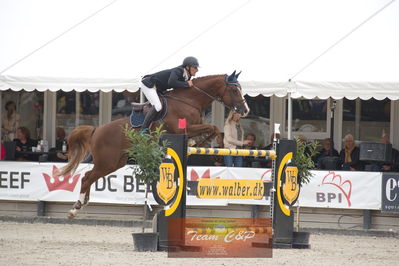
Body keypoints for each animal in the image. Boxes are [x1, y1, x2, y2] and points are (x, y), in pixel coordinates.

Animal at [58, 70, 250, 218]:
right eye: (234, 90)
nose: (245, 110)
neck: (190, 100)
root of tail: (96, 130)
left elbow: (213, 128)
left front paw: (202, 141)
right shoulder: (182, 129)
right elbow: (212, 127)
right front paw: (203, 140)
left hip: (115, 163)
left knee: (89, 176)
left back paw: (83, 203)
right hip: (107, 162)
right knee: (87, 177)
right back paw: (75, 209)